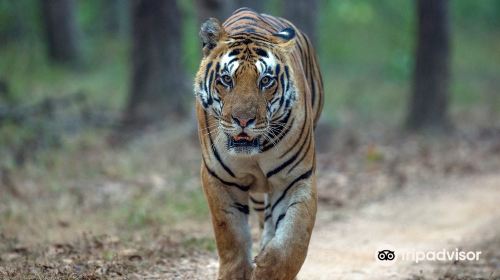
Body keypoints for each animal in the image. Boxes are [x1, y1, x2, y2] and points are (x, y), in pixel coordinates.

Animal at [193, 7, 322, 280]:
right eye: (226, 79)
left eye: (265, 81)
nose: (243, 120)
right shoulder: (219, 179)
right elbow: (231, 237)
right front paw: (237, 272)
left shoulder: (296, 177)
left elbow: (293, 240)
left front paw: (267, 268)